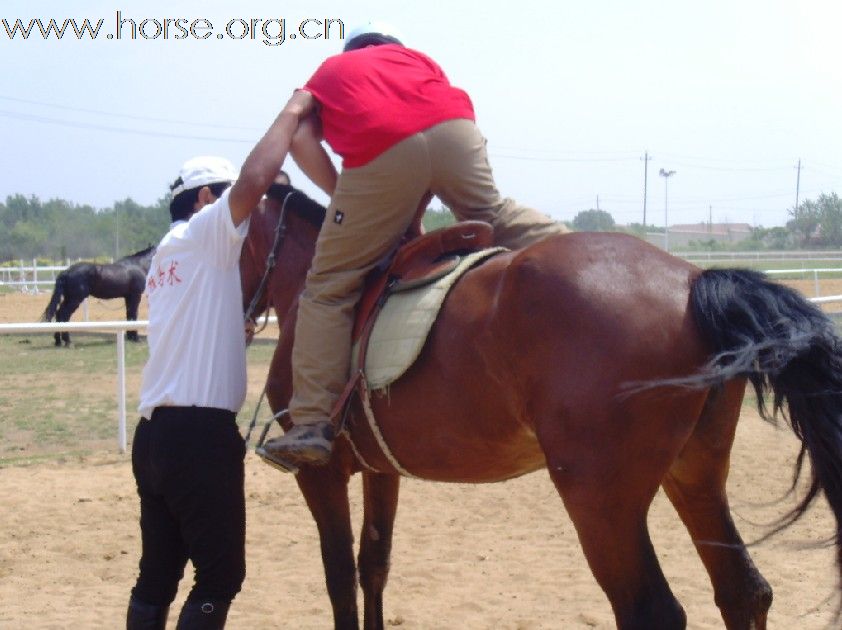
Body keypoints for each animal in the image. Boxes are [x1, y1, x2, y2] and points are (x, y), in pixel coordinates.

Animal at [238, 189, 840, 630]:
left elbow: (338, 576)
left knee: (653, 613)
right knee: (743, 591)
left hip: (600, 501)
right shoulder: (380, 471)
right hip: (694, 474)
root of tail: (692, 280)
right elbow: (374, 566)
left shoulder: (321, 475)